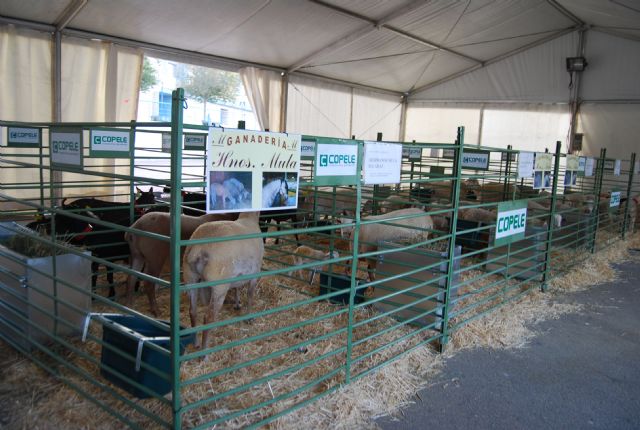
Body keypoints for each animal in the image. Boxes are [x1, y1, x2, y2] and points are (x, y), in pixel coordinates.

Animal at [181, 212, 264, 350]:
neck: (249, 217)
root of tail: (199, 248)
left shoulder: (238, 275)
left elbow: (237, 288)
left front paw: (237, 304)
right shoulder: (255, 273)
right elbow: (250, 295)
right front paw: (249, 317)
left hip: (190, 278)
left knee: (192, 311)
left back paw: (196, 343)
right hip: (219, 286)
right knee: (208, 317)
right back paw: (204, 350)